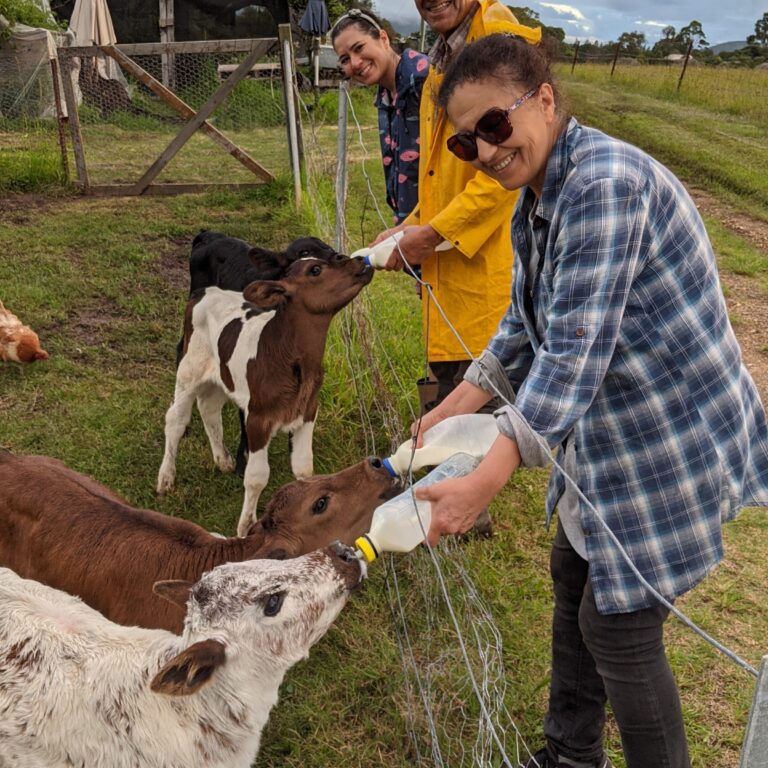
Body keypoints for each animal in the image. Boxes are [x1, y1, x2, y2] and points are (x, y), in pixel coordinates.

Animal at [158, 255, 374, 536]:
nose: (360, 259)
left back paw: (223, 460)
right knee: (175, 420)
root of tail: (204, 291)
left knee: (209, 408)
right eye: (315, 269)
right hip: (188, 369)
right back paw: (165, 478)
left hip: (220, 376)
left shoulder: (308, 411)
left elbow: (304, 466)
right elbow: (257, 476)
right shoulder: (258, 419)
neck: (295, 359)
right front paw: (245, 527)